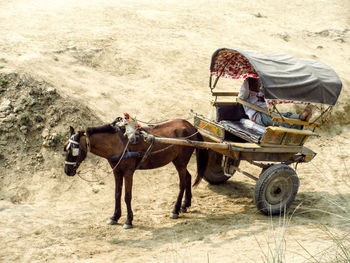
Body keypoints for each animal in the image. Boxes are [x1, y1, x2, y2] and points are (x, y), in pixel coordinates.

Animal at [63, 118, 208, 230]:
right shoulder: (117, 171)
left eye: (73, 149)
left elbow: (127, 196)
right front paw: (115, 217)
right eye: (65, 148)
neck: (117, 143)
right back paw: (185, 204)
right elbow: (117, 194)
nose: (67, 171)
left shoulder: (128, 172)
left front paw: (128, 220)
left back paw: (176, 209)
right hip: (178, 161)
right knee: (188, 177)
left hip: (181, 162)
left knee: (182, 183)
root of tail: (191, 126)